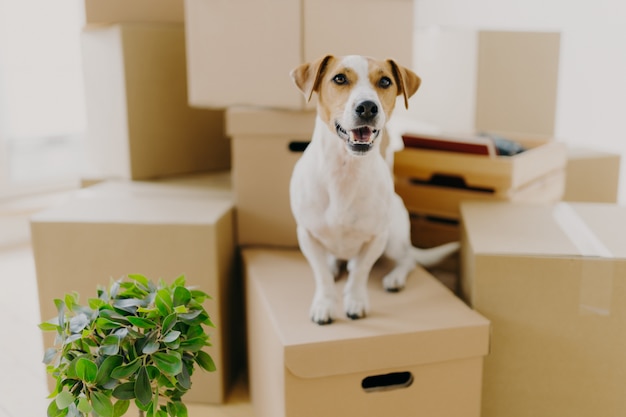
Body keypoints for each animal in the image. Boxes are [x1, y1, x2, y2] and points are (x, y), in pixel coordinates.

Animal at [288, 53, 458, 324]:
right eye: (339, 78)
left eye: (385, 81)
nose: (367, 107)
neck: (345, 170)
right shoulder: (307, 235)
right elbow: (321, 275)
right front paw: (325, 303)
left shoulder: (377, 237)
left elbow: (359, 272)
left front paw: (355, 300)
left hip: (394, 240)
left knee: (408, 260)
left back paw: (395, 277)